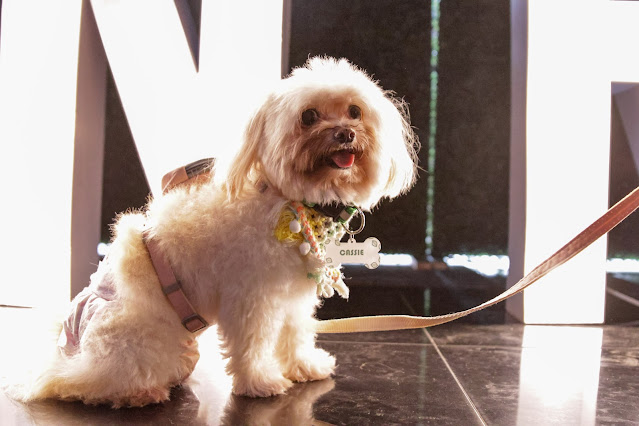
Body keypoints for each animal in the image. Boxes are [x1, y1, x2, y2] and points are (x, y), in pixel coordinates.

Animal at [8, 56, 418, 407]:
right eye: (309, 116)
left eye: (355, 111)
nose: (345, 133)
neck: (288, 201)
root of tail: (69, 347)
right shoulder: (251, 298)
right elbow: (253, 344)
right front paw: (259, 382)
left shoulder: (292, 296)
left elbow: (297, 333)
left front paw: (304, 366)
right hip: (148, 343)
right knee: (85, 385)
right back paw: (139, 391)